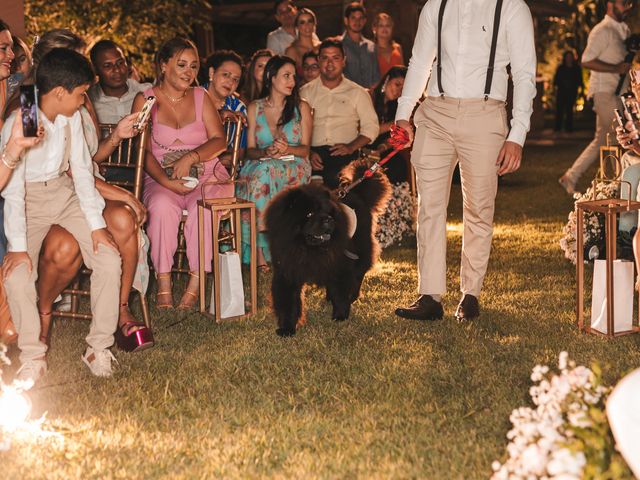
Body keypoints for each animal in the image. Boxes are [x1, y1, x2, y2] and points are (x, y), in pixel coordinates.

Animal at [264, 159, 390, 336]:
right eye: (309, 214)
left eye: (328, 213)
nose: (328, 220)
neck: (307, 249)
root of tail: (358, 194)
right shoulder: (287, 270)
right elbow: (288, 303)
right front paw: (287, 328)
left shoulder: (340, 263)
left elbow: (341, 293)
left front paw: (340, 316)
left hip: (360, 250)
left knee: (358, 274)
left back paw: (352, 296)